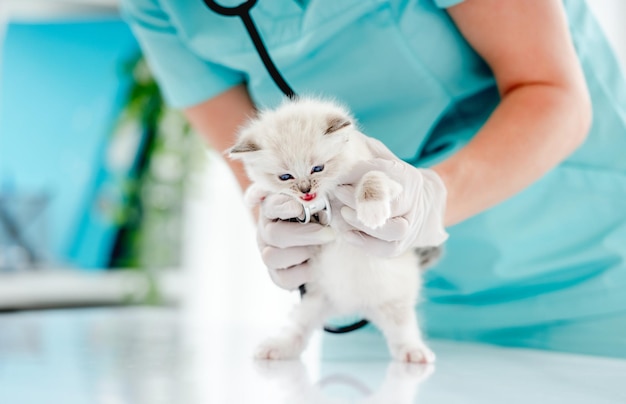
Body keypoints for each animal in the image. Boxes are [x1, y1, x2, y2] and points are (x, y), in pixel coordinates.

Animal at [228, 97, 434, 362]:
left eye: (318, 168)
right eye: (286, 176)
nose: (305, 190)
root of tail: (354, 306)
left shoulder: (392, 180)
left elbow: (372, 177)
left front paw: (371, 212)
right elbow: (272, 193)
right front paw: (254, 194)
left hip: (394, 304)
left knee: (404, 332)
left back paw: (415, 354)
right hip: (314, 303)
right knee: (298, 329)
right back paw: (276, 348)